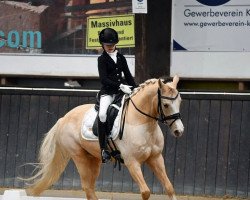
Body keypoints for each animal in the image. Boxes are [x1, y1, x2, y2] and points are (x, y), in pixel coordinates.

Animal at [25, 75, 184, 200]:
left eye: (180, 102)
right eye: (166, 104)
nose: (179, 131)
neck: (141, 122)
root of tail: (64, 118)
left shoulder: (156, 158)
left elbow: (169, 187)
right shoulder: (132, 162)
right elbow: (145, 192)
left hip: (94, 159)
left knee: (90, 188)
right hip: (79, 157)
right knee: (87, 187)